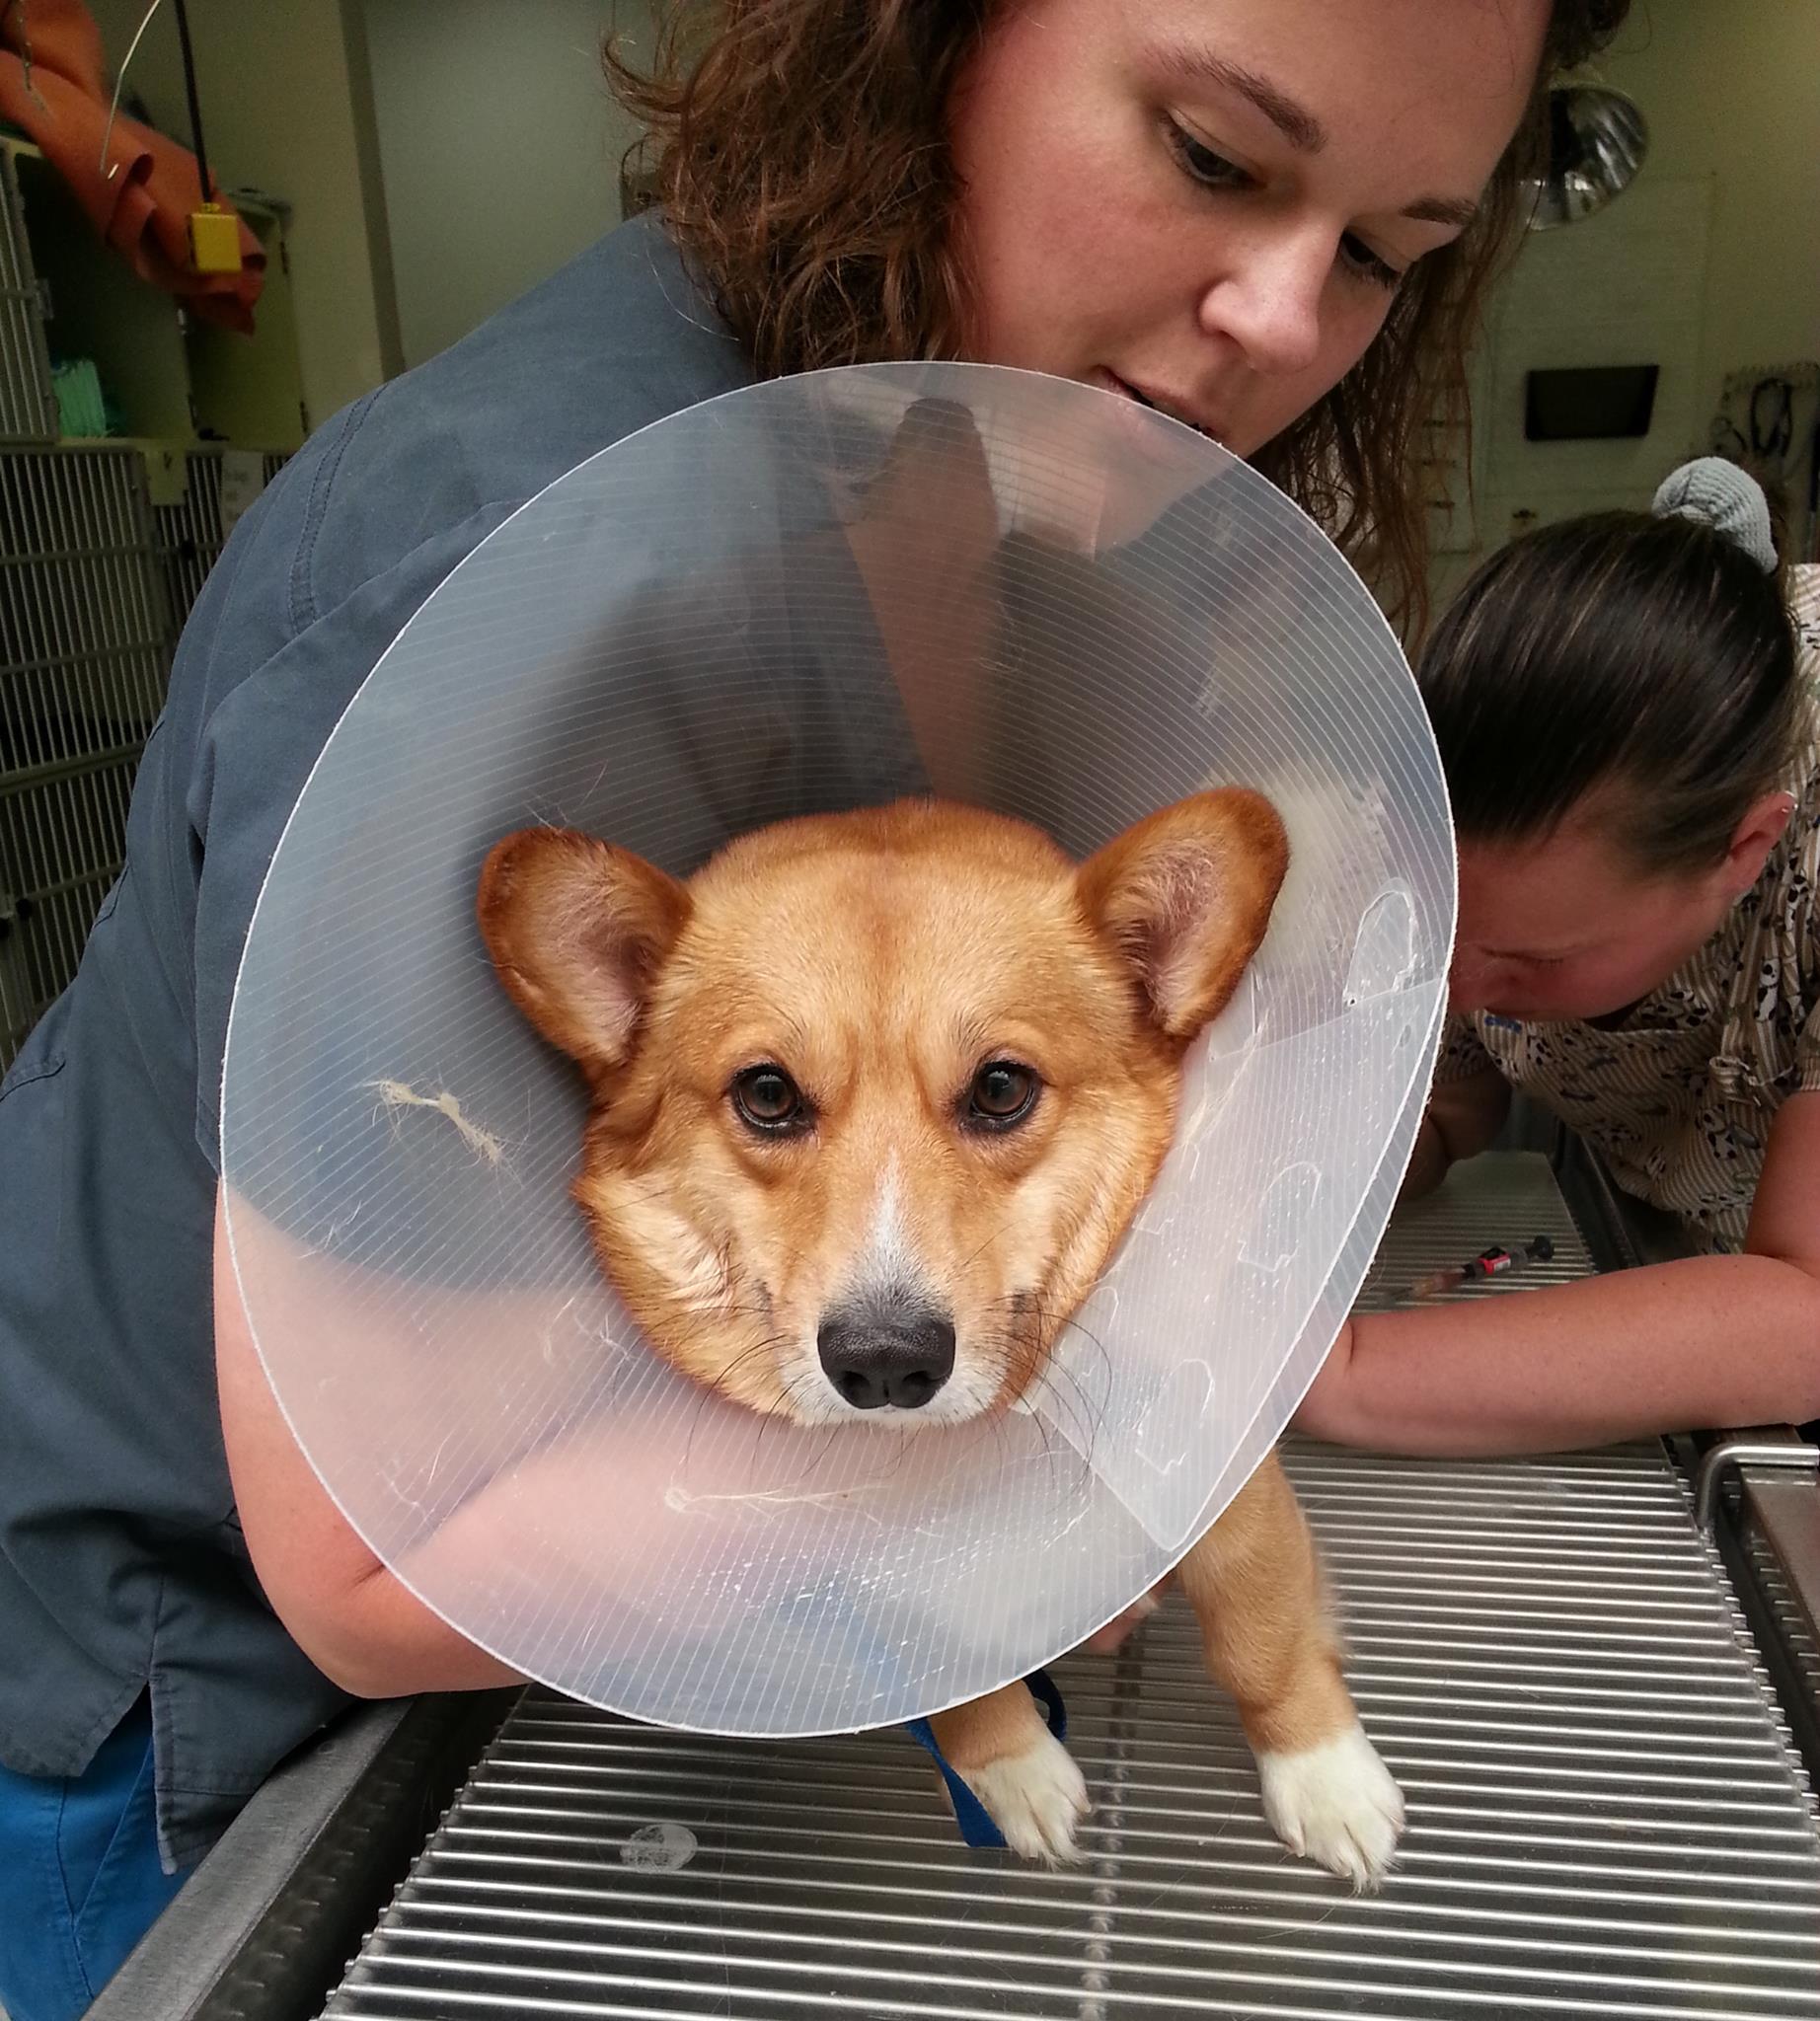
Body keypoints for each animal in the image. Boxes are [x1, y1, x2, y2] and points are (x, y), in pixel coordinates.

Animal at [477, 791, 1405, 1885]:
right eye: (767, 1094)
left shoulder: (1224, 1469)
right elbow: (956, 1684)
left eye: (1000, 1087)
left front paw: (1324, 1775)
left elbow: (1261, 1634)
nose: (883, 1364)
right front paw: (1010, 1767)